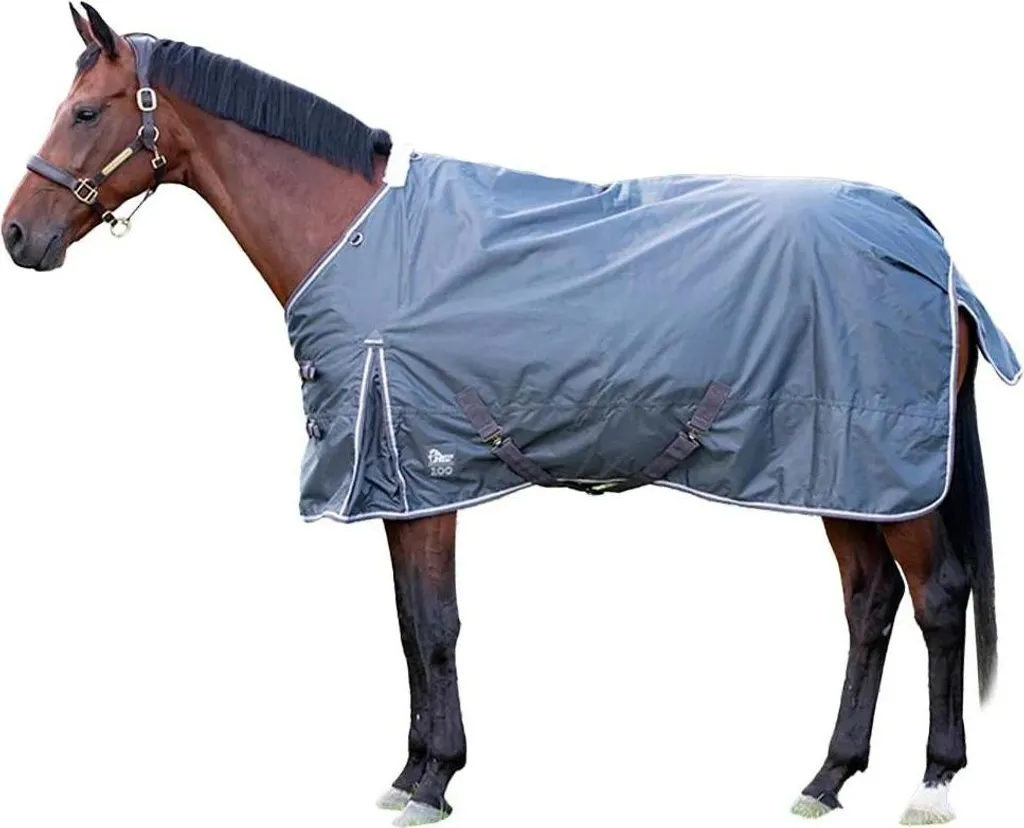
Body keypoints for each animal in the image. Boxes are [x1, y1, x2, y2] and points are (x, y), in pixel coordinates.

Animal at [2, 6, 1016, 826]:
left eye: (85, 112)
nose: (20, 236)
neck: (359, 244)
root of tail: (927, 240)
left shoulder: (425, 473)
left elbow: (436, 626)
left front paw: (436, 781)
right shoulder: (403, 484)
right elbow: (409, 625)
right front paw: (412, 774)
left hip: (887, 474)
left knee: (936, 597)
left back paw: (932, 783)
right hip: (840, 473)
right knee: (869, 604)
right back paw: (827, 778)